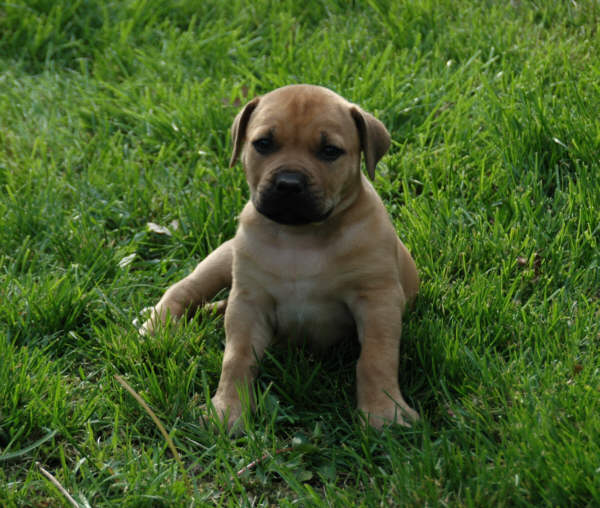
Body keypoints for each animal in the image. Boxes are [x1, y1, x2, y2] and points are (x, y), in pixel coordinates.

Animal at [141, 85, 420, 430]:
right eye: (263, 144)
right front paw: (228, 408)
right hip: (222, 259)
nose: (288, 184)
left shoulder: (377, 299)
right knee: (183, 289)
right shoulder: (249, 301)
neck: (301, 237)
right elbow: (236, 358)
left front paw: (383, 412)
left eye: (330, 151)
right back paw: (157, 326)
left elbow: (376, 357)